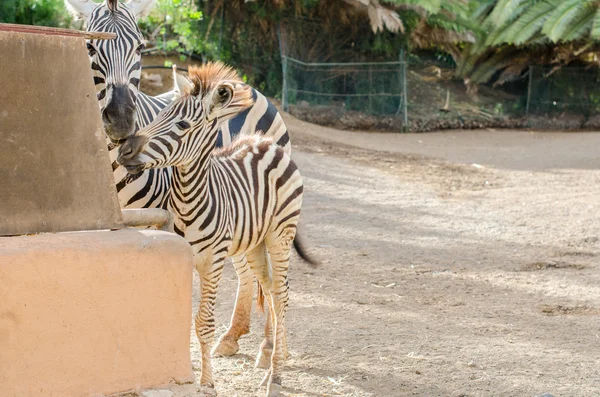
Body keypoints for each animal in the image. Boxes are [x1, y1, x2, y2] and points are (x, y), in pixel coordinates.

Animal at [64, 0, 290, 358]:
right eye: (89, 47)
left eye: (141, 47)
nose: (122, 120)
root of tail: (242, 82)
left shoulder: (161, 219)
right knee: (245, 267)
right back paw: (232, 336)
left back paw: (268, 345)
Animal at [119, 61, 312, 396]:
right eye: (158, 116)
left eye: (182, 125)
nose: (123, 151)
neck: (189, 200)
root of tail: (264, 142)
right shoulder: (185, 259)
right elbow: (184, 318)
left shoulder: (213, 261)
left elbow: (204, 323)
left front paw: (208, 383)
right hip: (255, 242)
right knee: (270, 290)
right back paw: (270, 362)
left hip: (280, 235)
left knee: (282, 294)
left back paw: (275, 376)